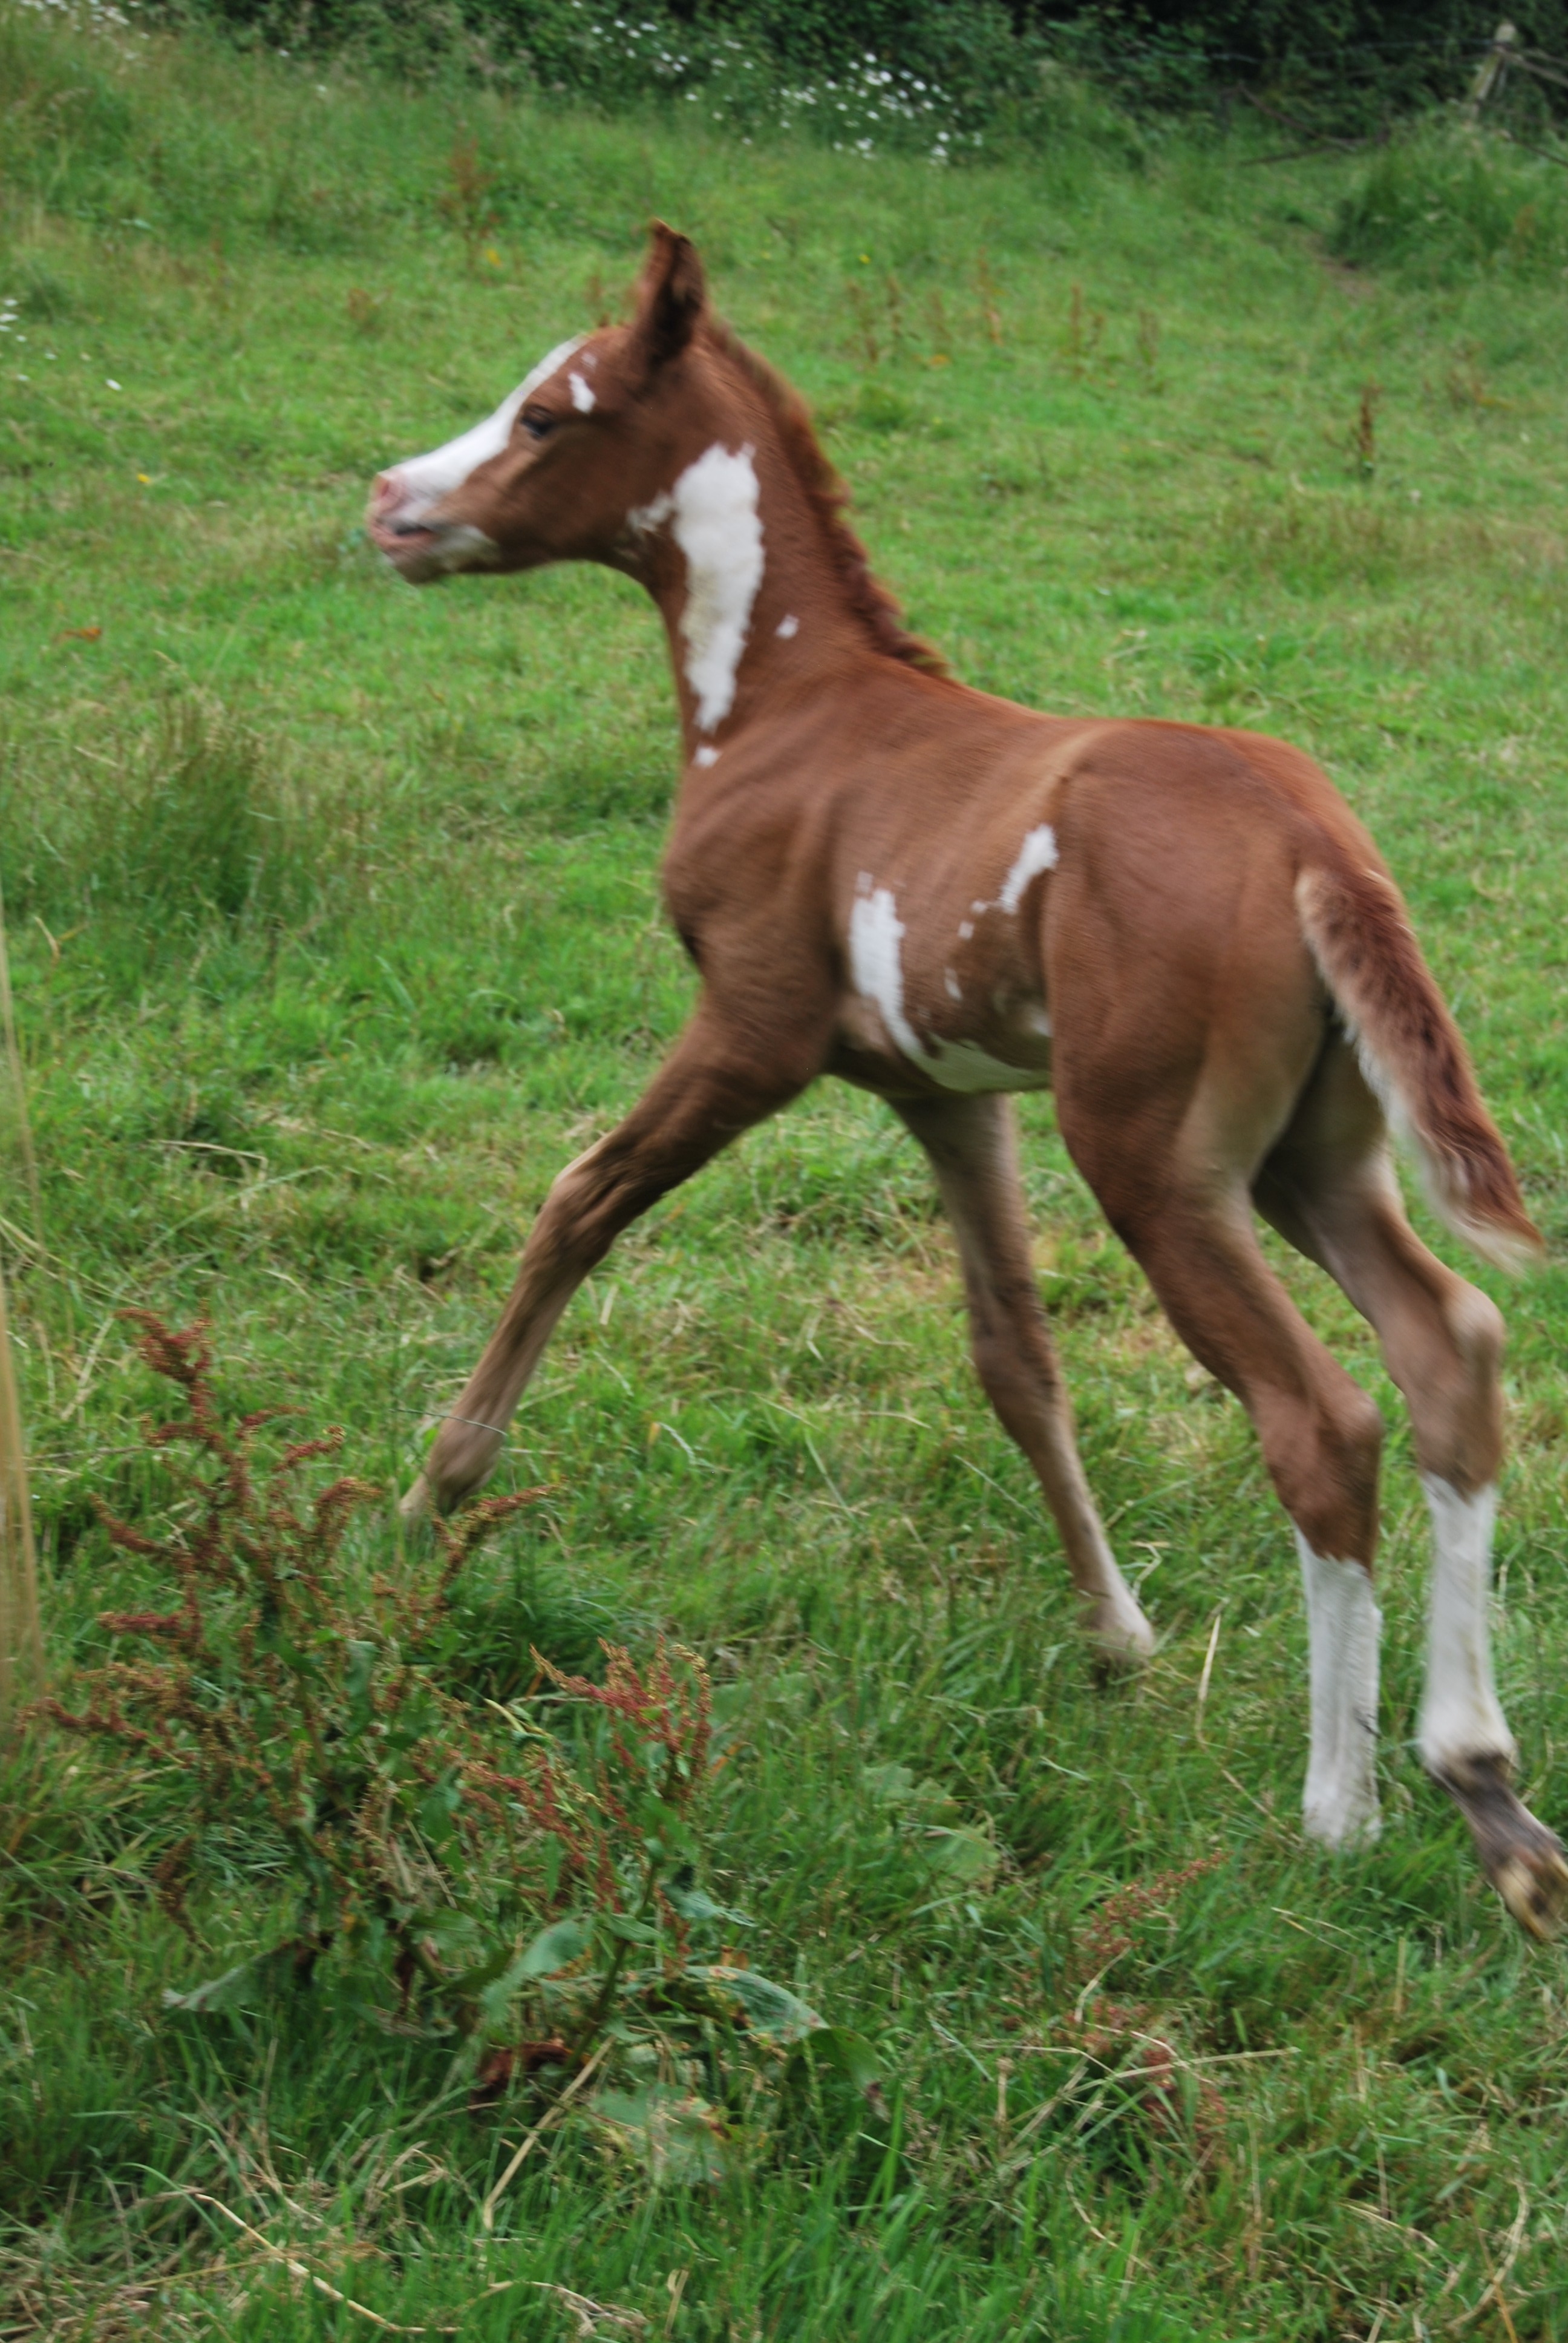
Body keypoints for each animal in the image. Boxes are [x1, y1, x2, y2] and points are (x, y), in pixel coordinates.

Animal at [373, 223, 1556, 1940]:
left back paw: (1337, 1807)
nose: (392, 503)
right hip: (1310, 1159)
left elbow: (576, 1201)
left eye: (545, 414)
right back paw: (1483, 1789)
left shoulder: (752, 1029)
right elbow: (1015, 1353)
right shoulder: (949, 1093)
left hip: (1153, 1157)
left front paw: (437, 1489)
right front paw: (1117, 1632)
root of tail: (1314, 841)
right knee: (1448, 1347)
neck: (784, 711)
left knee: (1321, 1417)